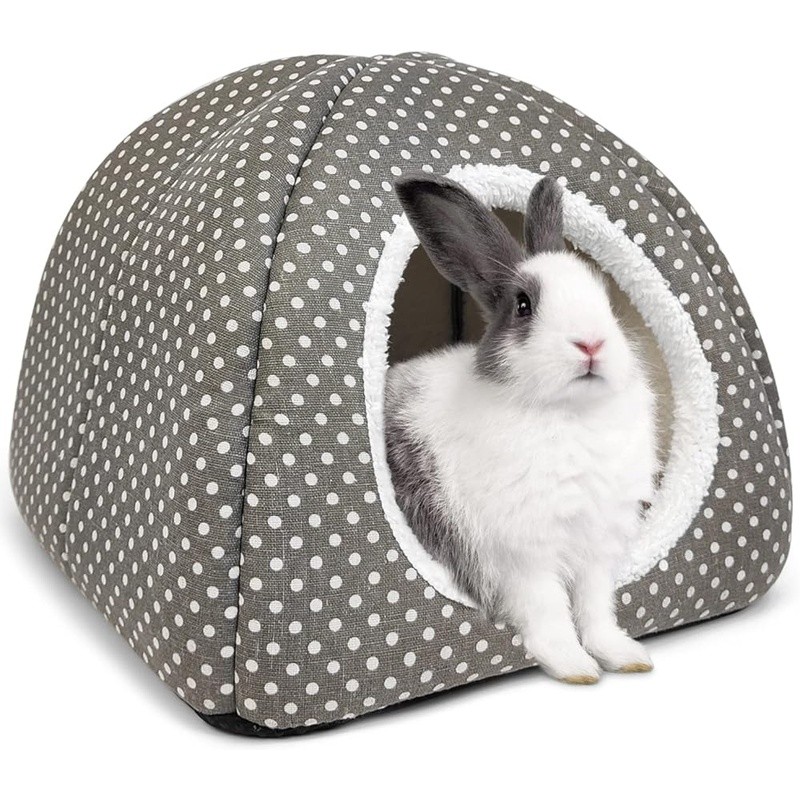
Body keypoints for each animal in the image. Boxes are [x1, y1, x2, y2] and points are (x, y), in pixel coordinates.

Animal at [385, 174, 659, 684]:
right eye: (524, 305)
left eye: (605, 297)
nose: (591, 343)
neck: (570, 414)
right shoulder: (523, 554)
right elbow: (548, 610)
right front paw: (575, 667)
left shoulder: (597, 548)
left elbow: (596, 609)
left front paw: (626, 657)